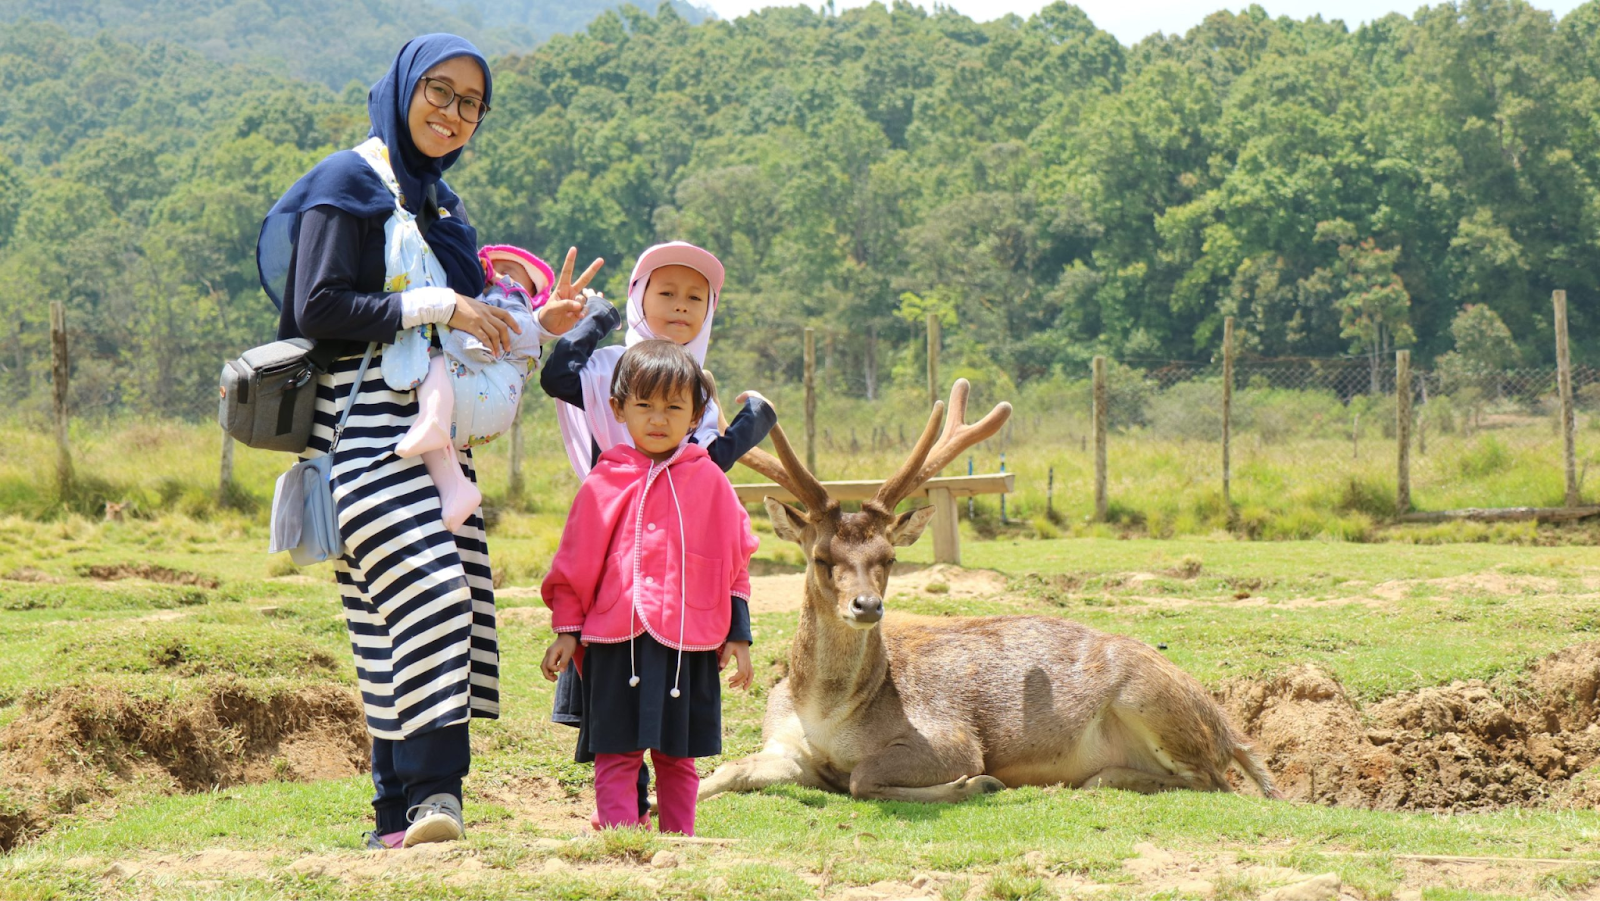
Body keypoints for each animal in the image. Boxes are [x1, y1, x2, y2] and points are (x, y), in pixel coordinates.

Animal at [707, 379, 1280, 803]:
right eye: (821, 558)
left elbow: (863, 778)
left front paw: (976, 783)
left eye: (889, 558)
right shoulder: (782, 742)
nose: (867, 605)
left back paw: (1099, 778)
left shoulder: (951, 737)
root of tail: (1228, 727)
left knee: (1215, 781)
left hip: (1151, 700)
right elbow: (728, 771)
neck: (827, 714)